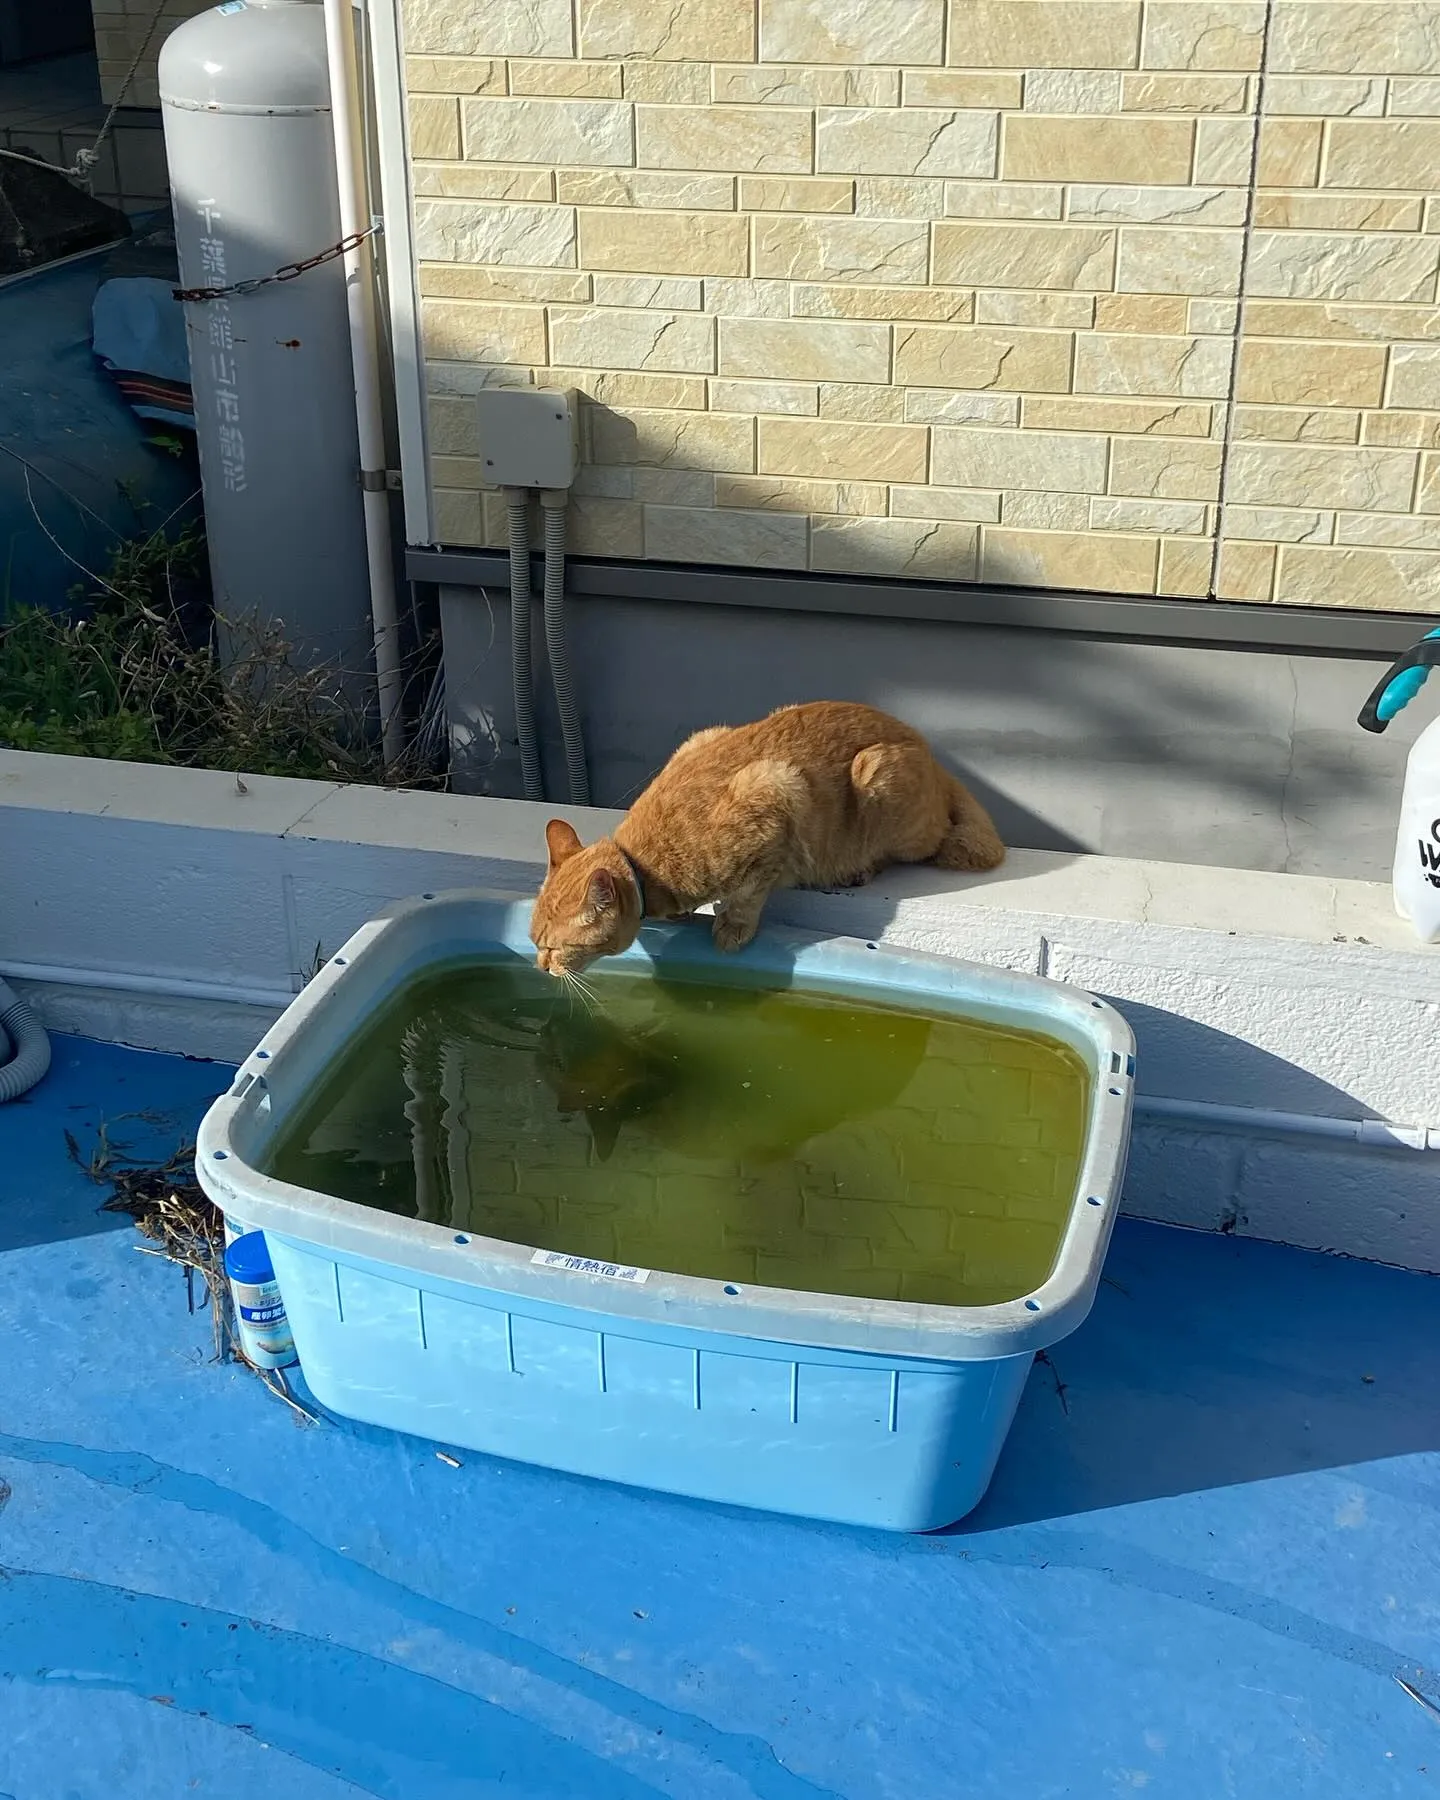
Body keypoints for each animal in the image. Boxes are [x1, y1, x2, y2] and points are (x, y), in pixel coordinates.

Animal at [529, 702, 1000, 986]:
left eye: (553, 947)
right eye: (534, 942)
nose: (539, 965)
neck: (644, 865)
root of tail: (931, 754)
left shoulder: (776, 794)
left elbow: (749, 894)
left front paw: (731, 926)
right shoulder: (701, 738)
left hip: (880, 779)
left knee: (934, 841)